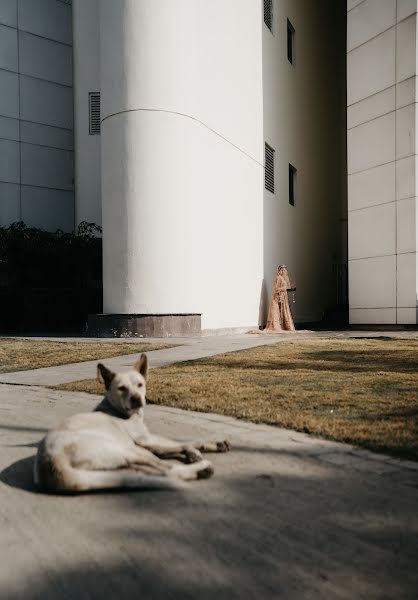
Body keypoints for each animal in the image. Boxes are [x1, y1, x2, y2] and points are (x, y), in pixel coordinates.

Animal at [35, 352, 232, 492]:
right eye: (122, 388)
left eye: (140, 385)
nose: (137, 399)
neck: (118, 410)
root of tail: (50, 464)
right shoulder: (145, 439)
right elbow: (185, 442)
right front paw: (206, 446)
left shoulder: (150, 443)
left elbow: (179, 445)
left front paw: (198, 450)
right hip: (129, 450)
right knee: (168, 470)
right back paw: (201, 469)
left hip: (124, 460)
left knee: (157, 470)